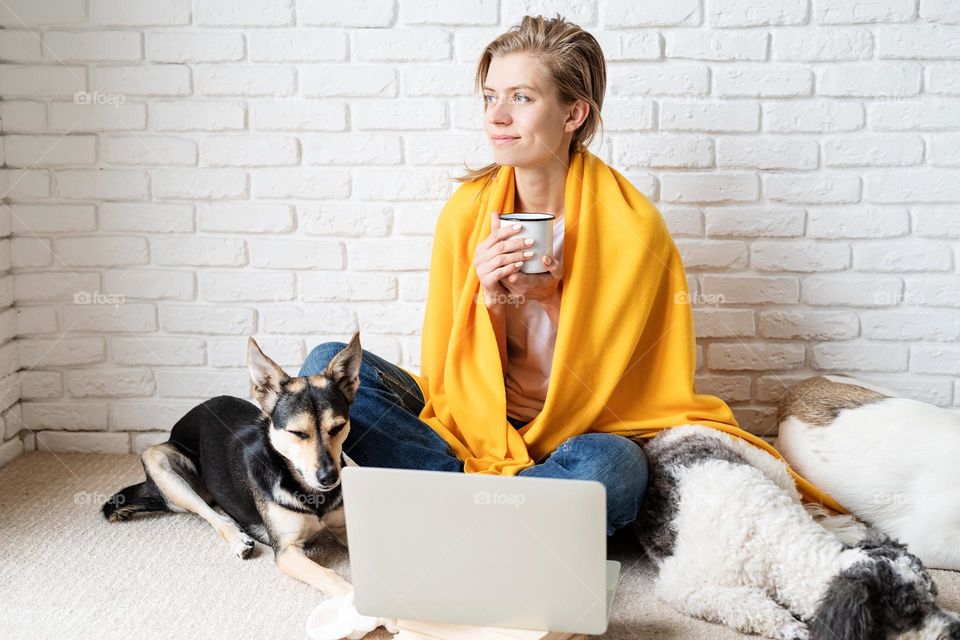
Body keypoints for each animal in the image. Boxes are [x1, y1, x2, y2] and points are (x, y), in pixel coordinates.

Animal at [102, 332, 360, 596]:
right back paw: (238, 538)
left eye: (338, 427)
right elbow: (329, 576)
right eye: (297, 433)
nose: (329, 478)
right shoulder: (287, 551)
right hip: (157, 460)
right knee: (211, 513)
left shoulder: (345, 527)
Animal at [632, 424, 960, 640]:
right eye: (910, 613)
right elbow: (741, 601)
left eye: (934, 595)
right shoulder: (682, 584)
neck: (780, 542)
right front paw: (785, 625)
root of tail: (674, 429)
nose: (956, 630)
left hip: (773, 469)